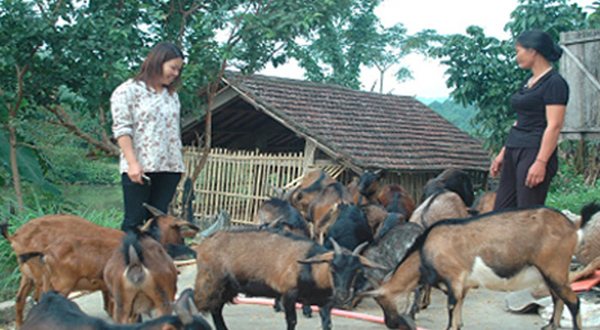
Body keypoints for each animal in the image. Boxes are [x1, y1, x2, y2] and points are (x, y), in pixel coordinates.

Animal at [360, 206, 584, 330]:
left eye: (381, 302)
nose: (389, 324)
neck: (425, 250)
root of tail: (572, 228)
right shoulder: (464, 284)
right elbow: (459, 310)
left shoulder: (454, 278)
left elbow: (451, 309)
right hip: (549, 273)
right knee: (557, 297)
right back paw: (550, 325)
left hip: (554, 268)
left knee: (573, 301)